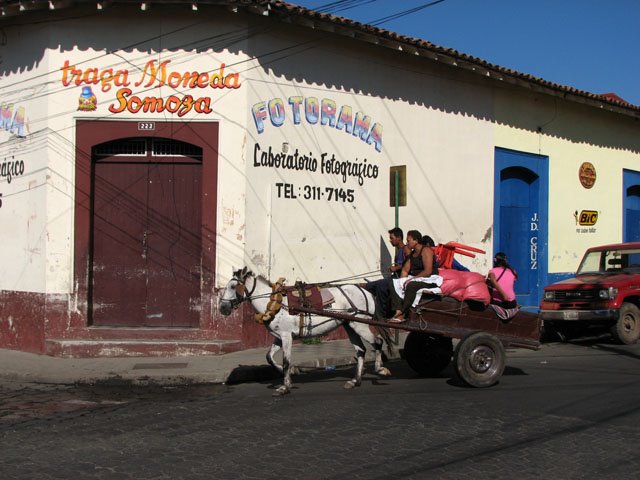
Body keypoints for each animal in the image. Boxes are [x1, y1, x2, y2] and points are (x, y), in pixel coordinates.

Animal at [219, 268, 390, 396]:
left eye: (233, 287)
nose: (222, 308)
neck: (275, 303)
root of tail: (365, 291)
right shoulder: (279, 337)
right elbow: (269, 357)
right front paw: (292, 372)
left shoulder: (287, 336)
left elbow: (286, 360)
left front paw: (285, 387)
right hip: (350, 325)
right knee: (361, 350)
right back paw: (355, 381)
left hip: (360, 324)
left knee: (378, 342)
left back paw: (380, 369)